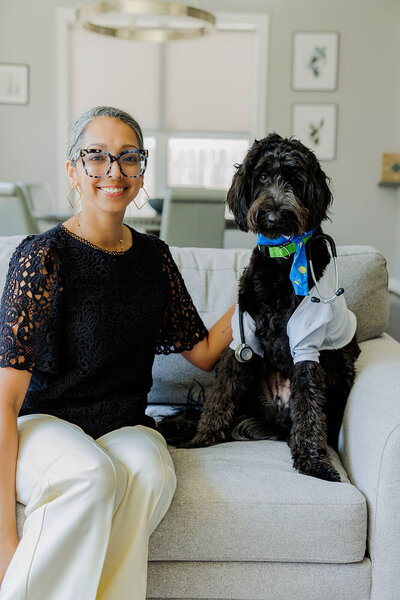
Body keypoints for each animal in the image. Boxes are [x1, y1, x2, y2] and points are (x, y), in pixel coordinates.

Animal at [158, 134, 360, 480]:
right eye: (263, 176)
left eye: (295, 179)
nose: (275, 215)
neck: (283, 258)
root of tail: (276, 419)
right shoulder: (244, 338)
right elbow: (221, 394)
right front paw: (202, 439)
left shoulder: (307, 346)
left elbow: (309, 404)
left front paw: (312, 462)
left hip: (343, 363)